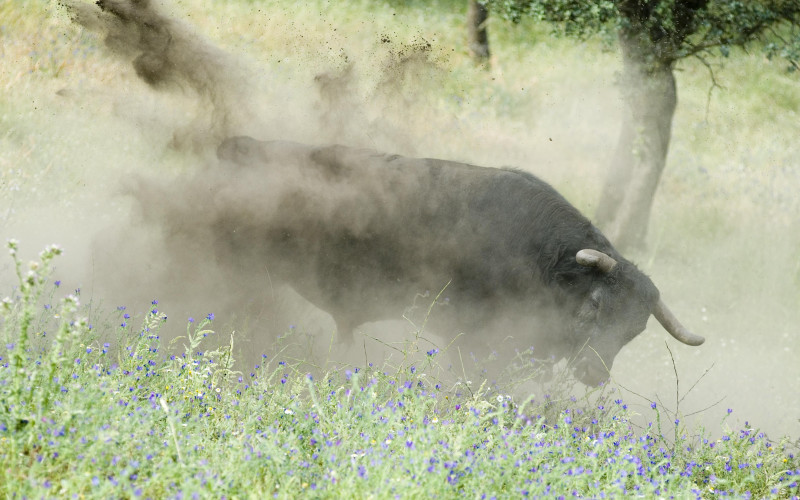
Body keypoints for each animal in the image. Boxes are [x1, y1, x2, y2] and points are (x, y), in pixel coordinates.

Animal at [141, 135, 704, 384]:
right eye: (594, 304)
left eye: (635, 330)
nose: (594, 373)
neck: (540, 258)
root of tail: (239, 145)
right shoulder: (476, 343)